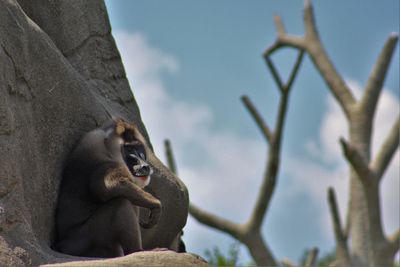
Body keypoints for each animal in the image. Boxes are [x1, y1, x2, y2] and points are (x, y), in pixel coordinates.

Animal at [54, 118, 162, 258]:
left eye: (138, 148)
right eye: (129, 149)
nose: (144, 166)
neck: (106, 146)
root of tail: (63, 245)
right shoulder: (108, 166)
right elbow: (110, 186)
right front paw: (156, 205)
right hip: (87, 238)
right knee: (121, 203)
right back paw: (137, 251)